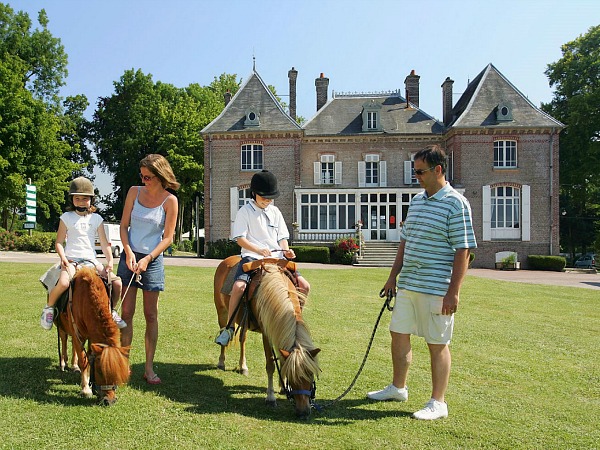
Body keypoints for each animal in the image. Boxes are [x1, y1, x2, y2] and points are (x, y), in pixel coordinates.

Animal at [56, 268, 130, 404]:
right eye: (100, 371)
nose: (109, 401)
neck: (85, 299)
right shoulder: (78, 333)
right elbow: (83, 360)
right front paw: (86, 389)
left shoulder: (90, 336)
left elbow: (88, 357)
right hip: (62, 327)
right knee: (64, 340)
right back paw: (63, 363)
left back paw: (74, 366)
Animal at [213, 256, 322, 418]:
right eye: (294, 377)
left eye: (310, 374)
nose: (303, 412)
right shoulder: (267, 333)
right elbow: (270, 364)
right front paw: (270, 397)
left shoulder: (279, 330)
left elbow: (282, 359)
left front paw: (283, 387)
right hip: (222, 312)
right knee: (224, 332)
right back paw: (221, 362)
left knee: (242, 340)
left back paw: (243, 367)